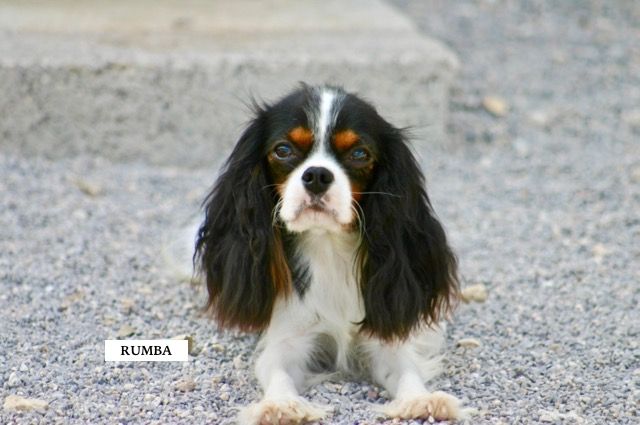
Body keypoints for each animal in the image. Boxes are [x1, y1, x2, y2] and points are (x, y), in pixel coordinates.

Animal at [192, 84, 462, 422]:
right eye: (283, 150)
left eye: (359, 154)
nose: (317, 175)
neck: (327, 246)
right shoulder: (289, 336)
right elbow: (276, 369)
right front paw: (281, 405)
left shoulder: (379, 336)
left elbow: (405, 367)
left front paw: (420, 399)